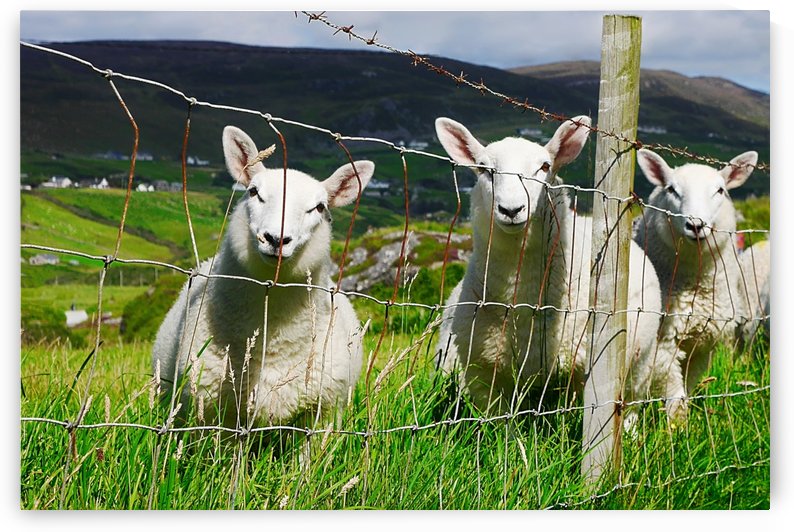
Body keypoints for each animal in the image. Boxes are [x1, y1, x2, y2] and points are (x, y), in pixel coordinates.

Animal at [433, 116, 664, 417]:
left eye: (544, 167)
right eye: (484, 169)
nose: (511, 209)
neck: (521, 300)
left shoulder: (581, 369)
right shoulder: (483, 375)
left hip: (638, 365)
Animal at [634, 148, 758, 420]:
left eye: (720, 190)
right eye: (671, 189)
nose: (696, 225)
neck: (696, 284)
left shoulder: (705, 344)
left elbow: (688, 386)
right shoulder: (664, 342)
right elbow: (674, 390)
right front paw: (676, 425)